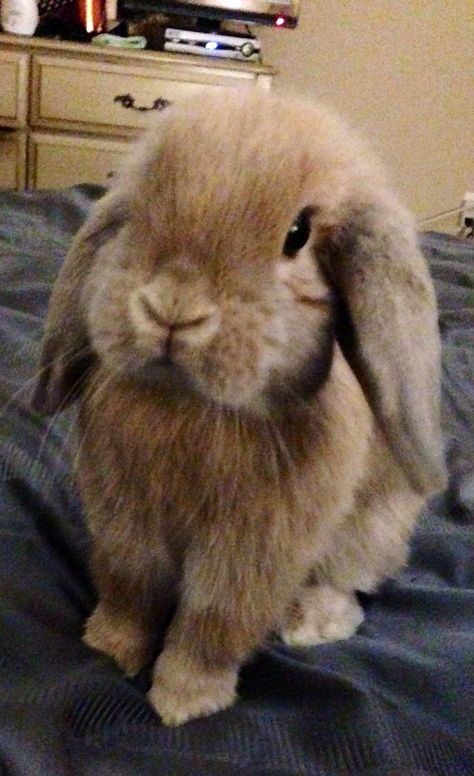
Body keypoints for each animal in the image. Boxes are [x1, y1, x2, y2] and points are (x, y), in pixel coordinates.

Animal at [32, 92, 444, 728]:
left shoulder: (251, 551)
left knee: (349, 585)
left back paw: (309, 622)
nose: (172, 308)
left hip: (373, 528)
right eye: (139, 206)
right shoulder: (126, 523)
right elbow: (131, 589)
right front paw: (107, 647)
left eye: (297, 234)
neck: (190, 404)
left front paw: (184, 702)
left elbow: (214, 621)